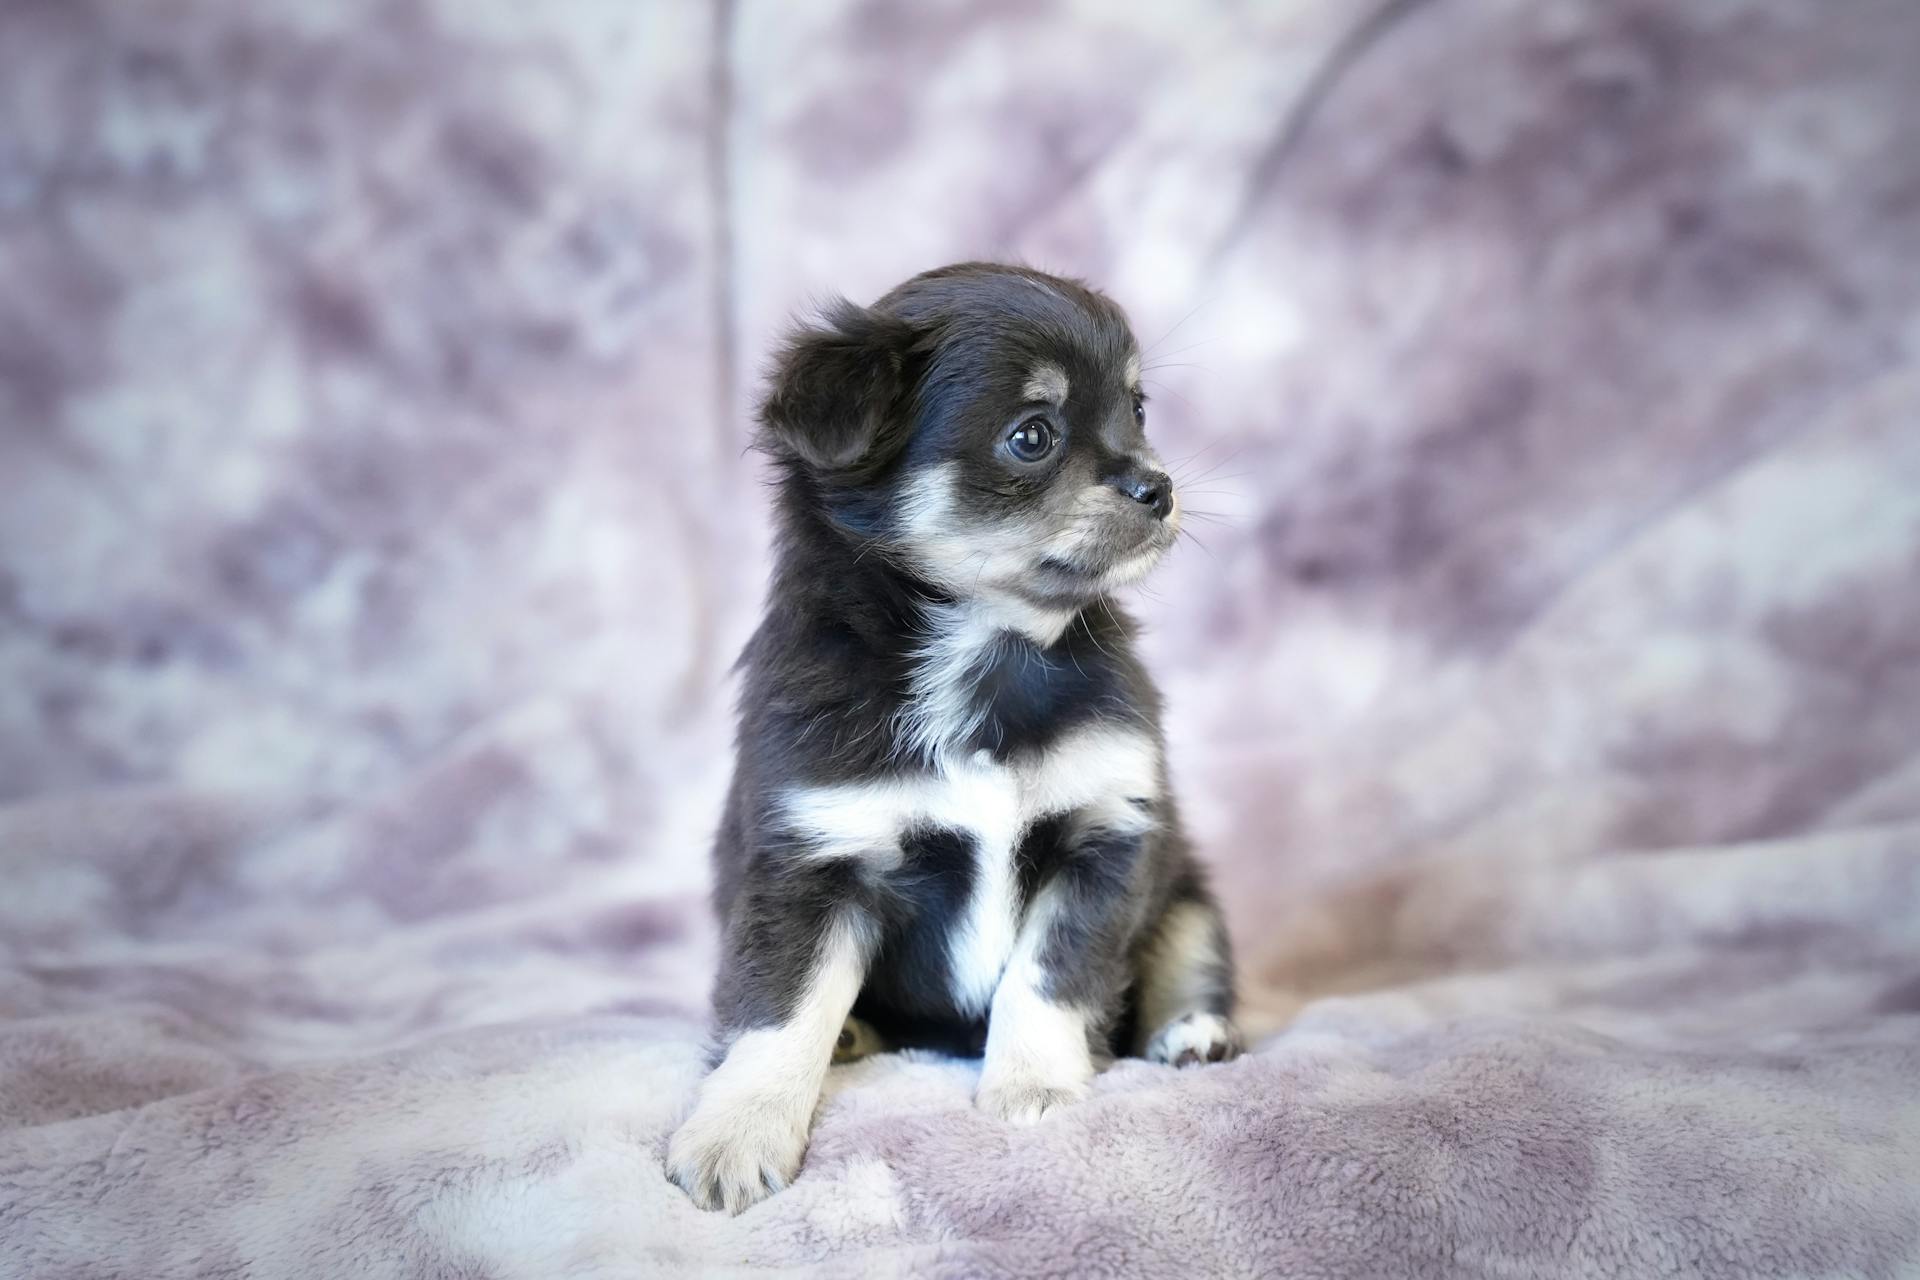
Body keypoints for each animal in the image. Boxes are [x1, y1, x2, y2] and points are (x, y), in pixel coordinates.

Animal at [672, 262, 1244, 1212]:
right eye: (1032, 435)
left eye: (1138, 409)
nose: (1159, 488)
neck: (987, 649)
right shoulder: (812, 861)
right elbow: (779, 1010)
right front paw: (734, 1133)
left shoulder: (1107, 839)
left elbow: (1047, 975)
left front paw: (1033, 1082)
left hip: (1187, 892)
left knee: (1189, 956)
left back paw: (1195, 1032)